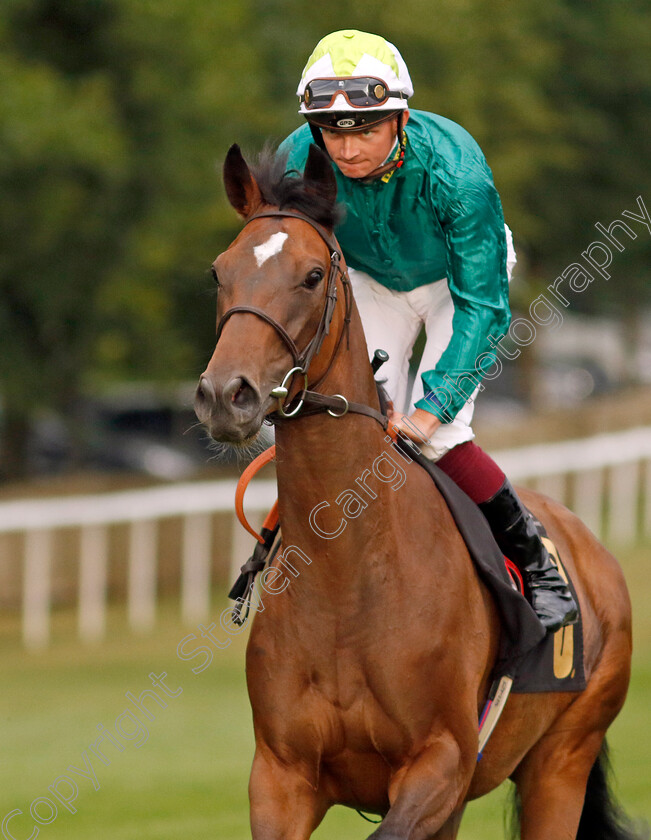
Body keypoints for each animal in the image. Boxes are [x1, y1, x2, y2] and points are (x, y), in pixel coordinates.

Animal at [196, 141, 640, 836]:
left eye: (312, 276)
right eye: (220, 274)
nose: (224, 395)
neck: (346, 573)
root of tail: (591, 548)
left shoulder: (440, 762)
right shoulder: (280, 775)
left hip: (562, 759)